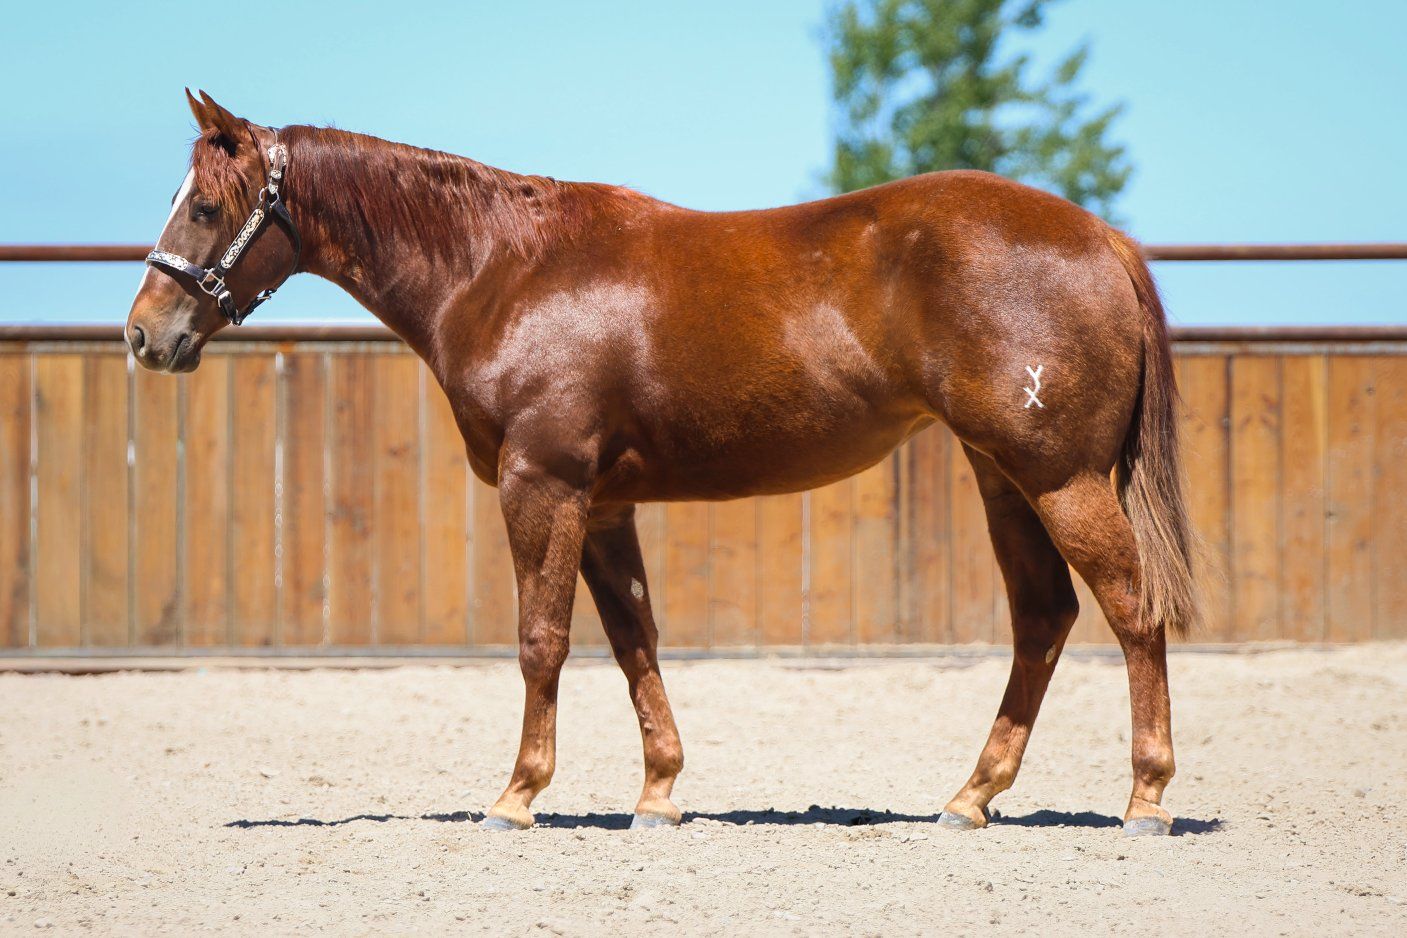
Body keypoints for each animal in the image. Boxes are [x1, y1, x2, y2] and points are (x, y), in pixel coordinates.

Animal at [126, 90, 1197, 837]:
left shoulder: (543, 486)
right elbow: (634, 641)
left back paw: (1145, 800)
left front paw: (516, 796)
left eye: (208, 206)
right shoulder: (603, 507)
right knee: (1043, 618)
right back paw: (970, 796)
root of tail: (1101, 237)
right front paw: (658, 794)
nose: (143, 335)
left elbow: (541, 642)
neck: (502, 270)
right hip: (1002, 476)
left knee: (1130, 610)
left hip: (1057, 480)